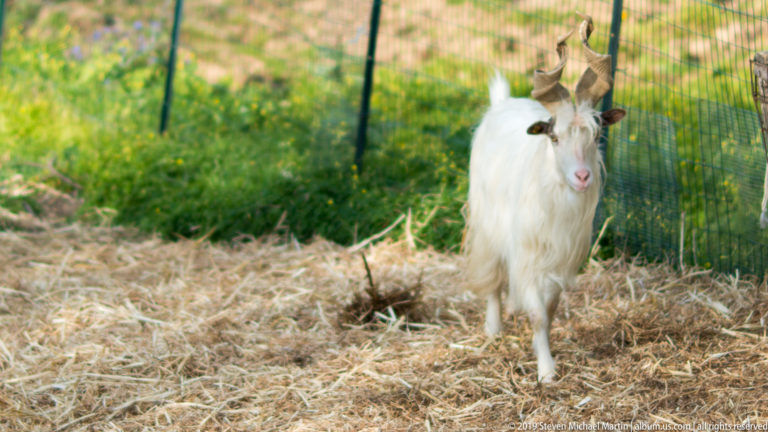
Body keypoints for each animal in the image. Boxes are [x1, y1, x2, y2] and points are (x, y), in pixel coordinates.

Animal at [464, 16, 626, 383]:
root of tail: (501, 103)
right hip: (487, 224)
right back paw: (494, 328)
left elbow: (549, 309)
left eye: (597, 134)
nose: (583, 177)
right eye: (554, 137)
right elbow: (537, 313)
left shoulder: (560, 260)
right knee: (493, 277)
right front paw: (547, 372)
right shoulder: (527, 254)